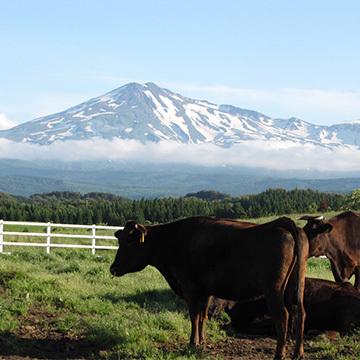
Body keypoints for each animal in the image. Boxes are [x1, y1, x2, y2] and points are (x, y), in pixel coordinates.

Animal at [108, 215, 308, 358]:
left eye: (128, 242)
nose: (113, 268)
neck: (172, 241)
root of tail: (281, 223)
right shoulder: (205, 291)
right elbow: (203, 316)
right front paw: (202, 341)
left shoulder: (190, 288)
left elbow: (194, 316)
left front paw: (192, 343)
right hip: (295, 286)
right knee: (300, 313)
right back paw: (297, 353)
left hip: (274, 291)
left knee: (283, 317)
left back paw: (279, 355)